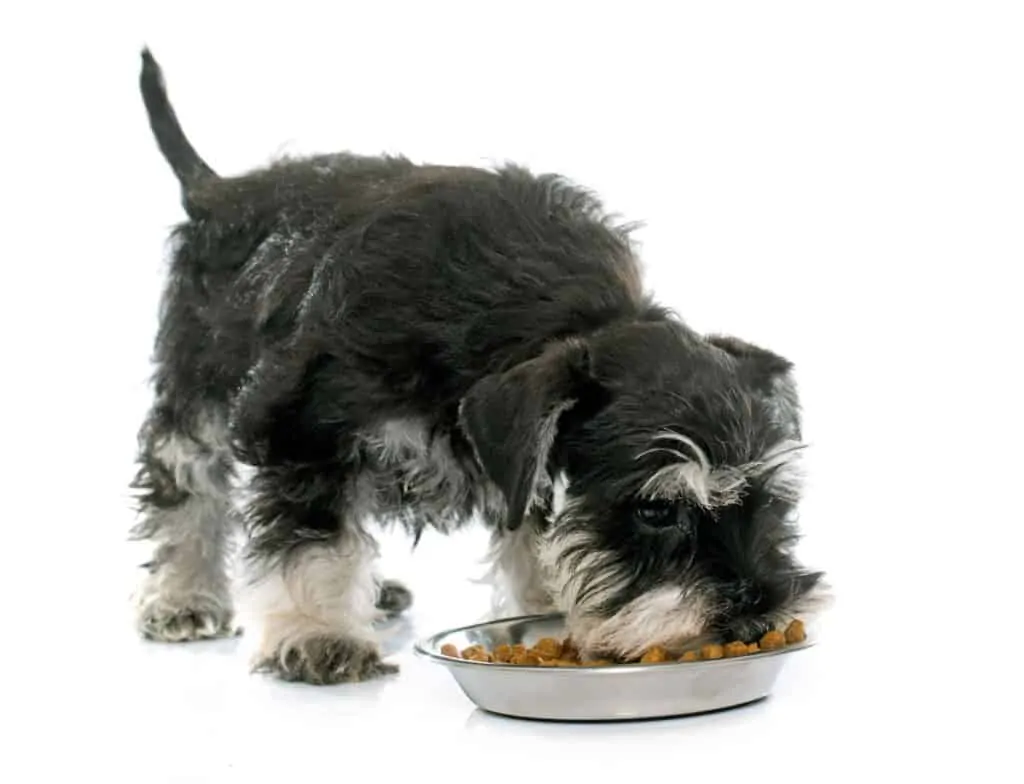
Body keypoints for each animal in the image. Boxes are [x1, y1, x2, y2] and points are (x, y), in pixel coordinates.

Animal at [132, 50, 827, 687]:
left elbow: (536, 539)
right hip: (199, 392)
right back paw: (183, 597)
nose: (756, 617)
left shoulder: (528, 466)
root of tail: (218, 191)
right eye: (656, 512)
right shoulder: (308, 430)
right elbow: (315, 541)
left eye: (773, 500)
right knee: (184, 483)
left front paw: (549, 612)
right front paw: (319, 635)